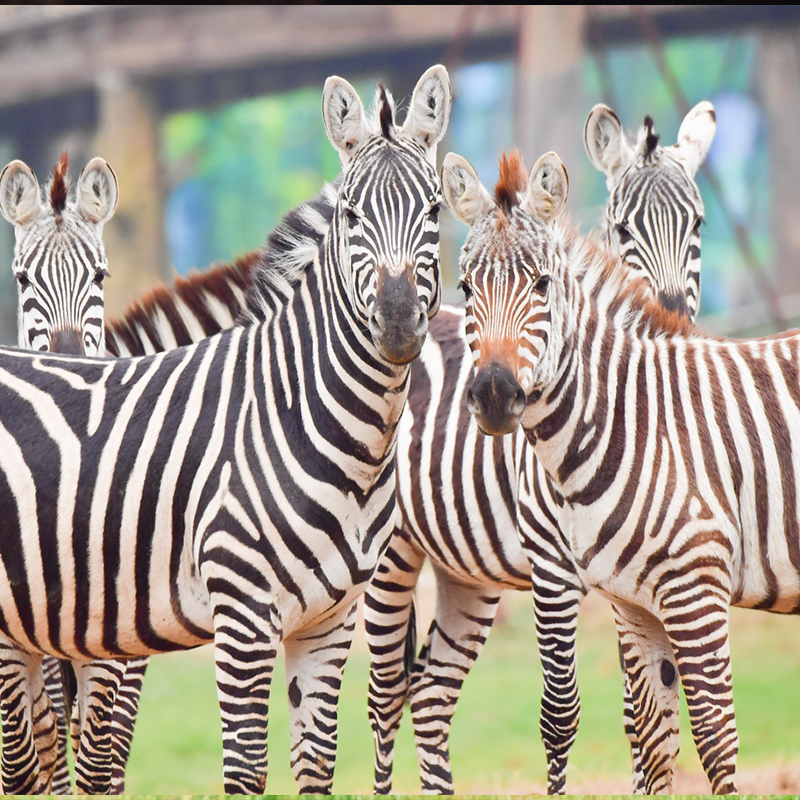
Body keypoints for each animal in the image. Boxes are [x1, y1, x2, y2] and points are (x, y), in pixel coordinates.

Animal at [0, 64, 450, 792]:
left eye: (435, 211)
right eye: (351, 215)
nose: (397, 320)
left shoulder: (330, 620)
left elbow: (314, 765)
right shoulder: (238, 615)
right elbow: (238, 769)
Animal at [366, 100, 716, 792]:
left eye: (697, 224)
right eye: (622, 227)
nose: (673, 323)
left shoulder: (638, 571)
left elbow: (642, 715)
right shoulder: (554, 566)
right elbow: (563, 714)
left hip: (464, 570)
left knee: (431, 696)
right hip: (392, 557)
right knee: (385, 698)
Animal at [450, 148, 800, 792]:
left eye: (542, 284)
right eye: (464, 287)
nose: (492, 395)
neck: (631, 418)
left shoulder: (696, 585)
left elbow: (715, 736)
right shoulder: (637, 606)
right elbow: (655, 743)